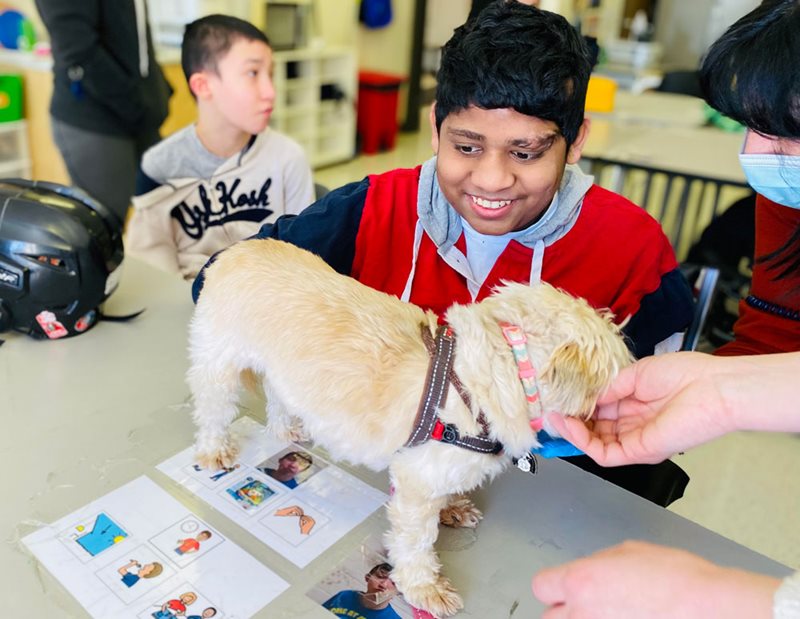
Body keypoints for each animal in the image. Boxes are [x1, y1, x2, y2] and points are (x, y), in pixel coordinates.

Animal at [191, 236, 636, 616]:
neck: (476, 378)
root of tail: (235, 249)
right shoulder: (415, 485)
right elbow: (416, 542)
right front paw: (424, 587)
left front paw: (452, 508)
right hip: (219, 361)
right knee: (212, 408)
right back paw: (214, 449)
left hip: (283, 370)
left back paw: (286, 431)